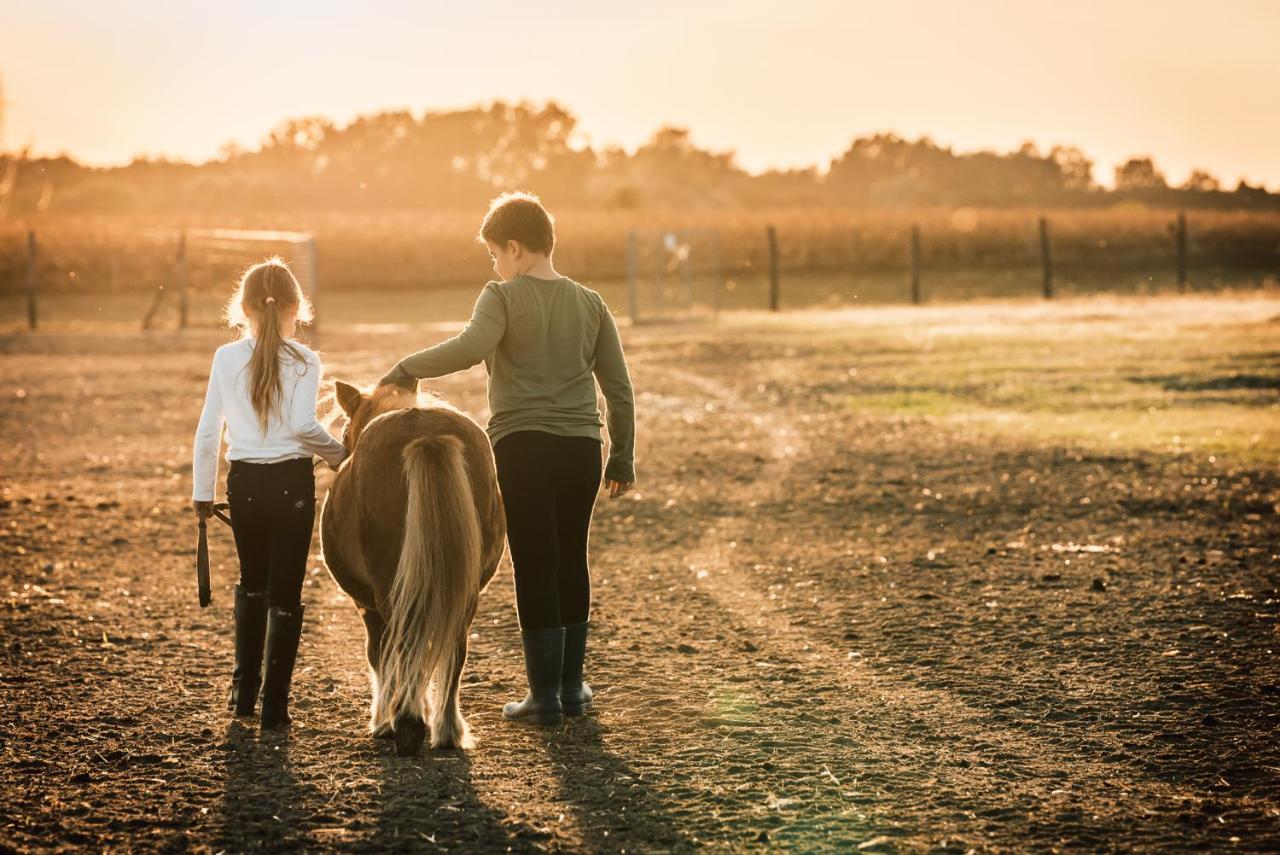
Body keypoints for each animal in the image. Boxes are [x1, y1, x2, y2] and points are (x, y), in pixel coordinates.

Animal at [320, 383, 504, 752]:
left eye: (345, 433)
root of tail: (428, 436)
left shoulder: (367, 605)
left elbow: (379, 655)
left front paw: (383, 720)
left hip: (392, 593)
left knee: (404, 643)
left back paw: (407, 722)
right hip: (465, 596)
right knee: (454, 651)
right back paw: (446, 730)